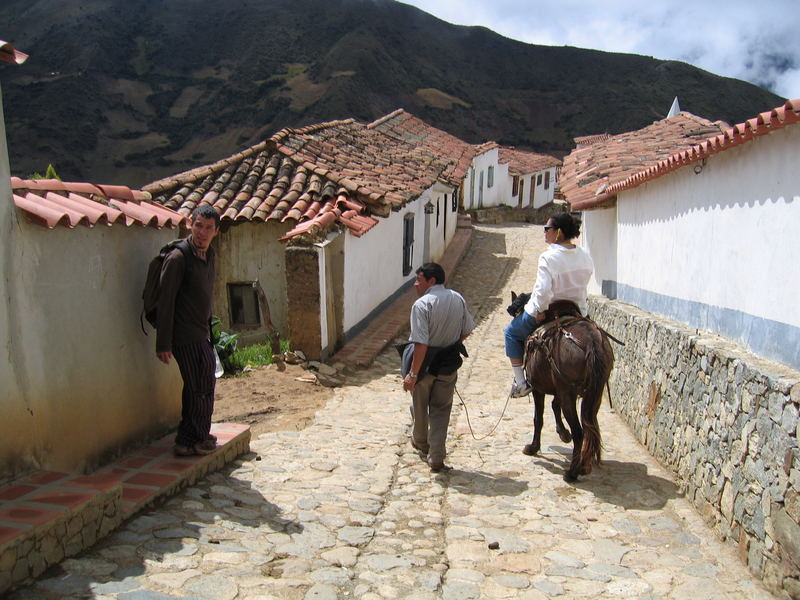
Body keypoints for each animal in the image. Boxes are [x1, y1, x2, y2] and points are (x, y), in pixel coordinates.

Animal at [520, 310, 616, 482]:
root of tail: (591, 342)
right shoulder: (559, 389)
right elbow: (554, 406)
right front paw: (563, 434)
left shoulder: (539, 389)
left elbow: (538, 419)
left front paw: (533, 448)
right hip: (594, 394)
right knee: (591, 427)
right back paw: (584, 465)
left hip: (569, 395)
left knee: (579, 432)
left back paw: (572, 473)